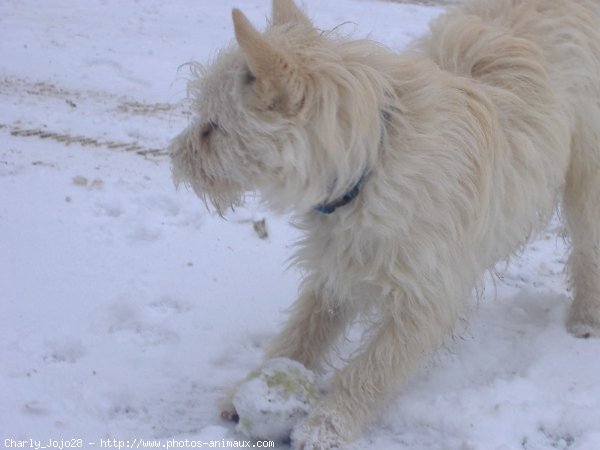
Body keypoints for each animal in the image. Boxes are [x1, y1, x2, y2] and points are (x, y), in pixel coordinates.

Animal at [170, 0, 600, 446]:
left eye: (212, 128)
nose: (174, 157)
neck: (374, 158)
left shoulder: (426, 296)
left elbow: (375, 367)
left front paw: (328, 422)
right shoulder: (338, 267)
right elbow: (303, 330)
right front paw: (246, 389)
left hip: (586, 177)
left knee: (587, 245)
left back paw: (585, 316)